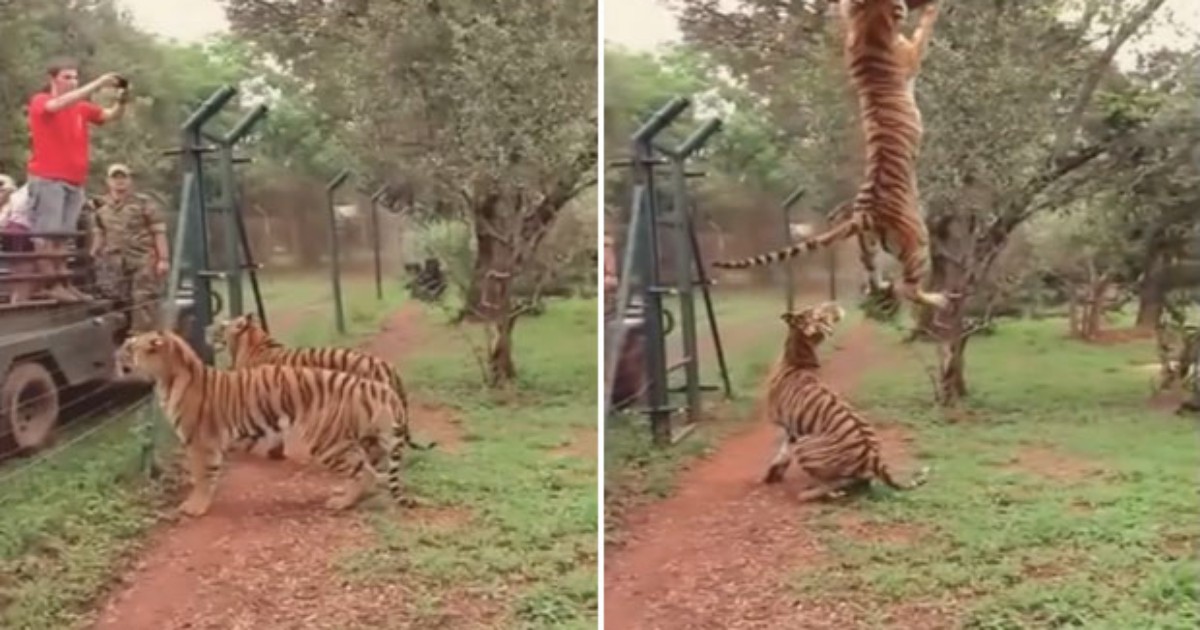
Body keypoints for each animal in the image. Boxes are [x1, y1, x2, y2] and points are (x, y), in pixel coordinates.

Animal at [117, 328, 417, 516]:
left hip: (327, 441)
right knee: (371, 470)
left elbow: (202, 476)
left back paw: (341, 502)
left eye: (130, 346)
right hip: (363, 437)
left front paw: (195, 507)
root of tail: (376, 385)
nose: (115, 354)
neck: (168, 376)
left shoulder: (200, 442)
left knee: (365, 472)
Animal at [206, 312, 436, 458]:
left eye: (223, 325)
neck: (254, 342)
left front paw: (241, 446)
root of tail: (386, 364)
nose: (207, 328)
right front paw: (274, 452)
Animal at [710, 0, 945, 321]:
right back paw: (939, 299)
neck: (869, 24)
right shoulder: (911, 55)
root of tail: (864, 214)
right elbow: (923, 32)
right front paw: (934, 9)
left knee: (872, 280)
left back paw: (884, 287)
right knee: (909, 287)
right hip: (918, 240)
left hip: (868, 246)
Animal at [763, 300, 931, 501]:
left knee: (837, 485)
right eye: (819, 312)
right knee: (861, 481)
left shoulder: (789, 427)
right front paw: (773, 474)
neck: (799, 355)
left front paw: (772, 473)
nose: (833, 303)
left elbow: (783, 450)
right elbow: (783, 451)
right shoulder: (792, 429)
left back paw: (810, 493)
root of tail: (873, 457)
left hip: (805, 444)